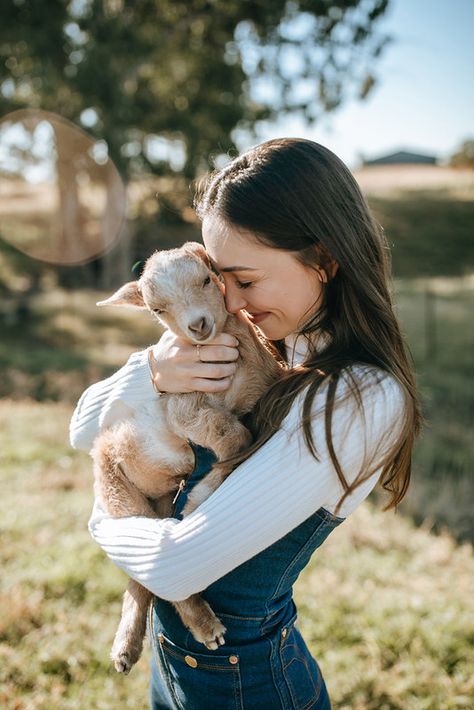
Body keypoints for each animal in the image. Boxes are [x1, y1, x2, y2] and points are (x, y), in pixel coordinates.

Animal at [91, 242, 282, 676]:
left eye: (207, 279)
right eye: (157, 309)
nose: (198, 325)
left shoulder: (266, 381)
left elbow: (244, 435)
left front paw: (206, 488)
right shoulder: (182, 405)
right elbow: (237, 436)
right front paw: (204, 494)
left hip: (157, 501)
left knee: (147, 574)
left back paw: (127, 648)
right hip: (116, 487)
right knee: (159, 570)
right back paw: (203, 627)